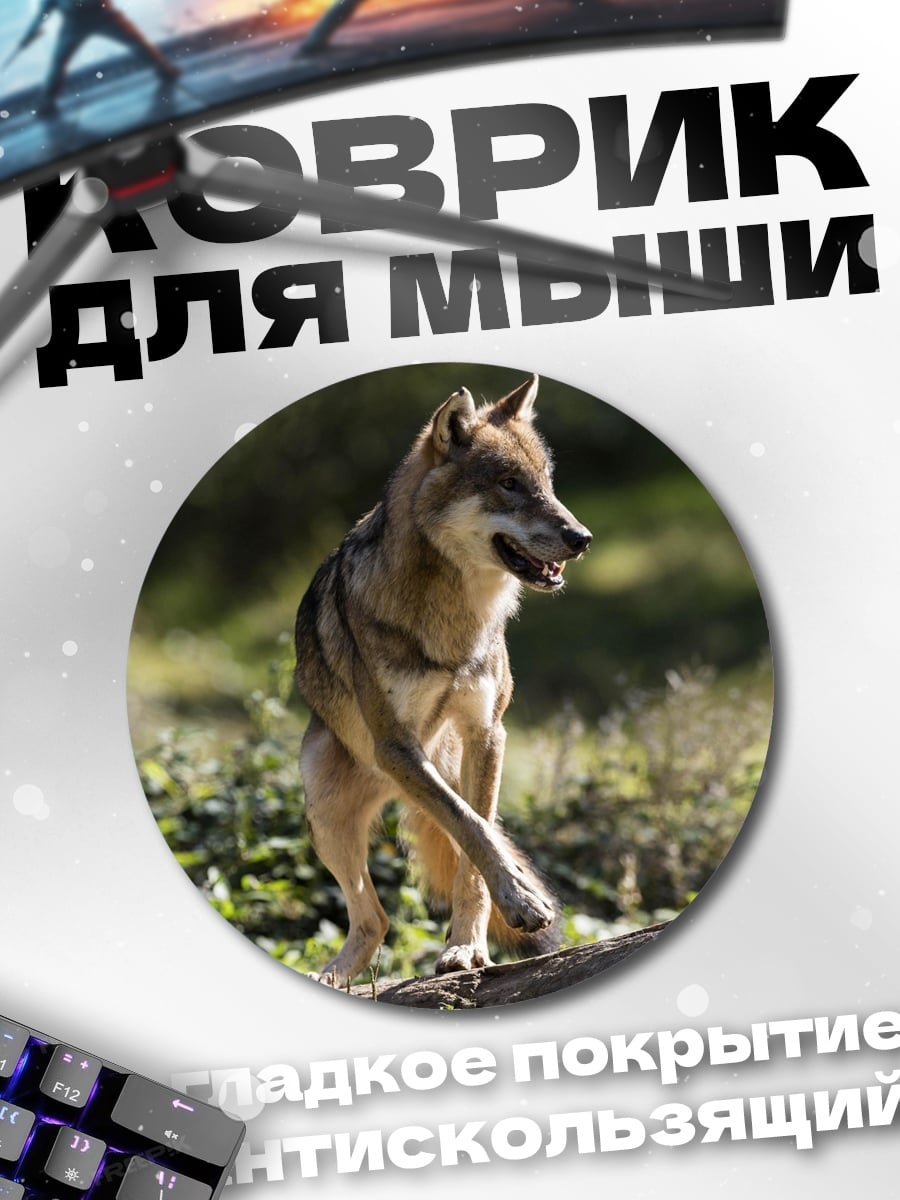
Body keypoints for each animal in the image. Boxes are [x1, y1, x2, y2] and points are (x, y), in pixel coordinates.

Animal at [293, 374, 592, 987]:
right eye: (509, 484)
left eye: (547, 485)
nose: (582, 537)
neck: (456, 622)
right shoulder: (396, 746)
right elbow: (471, 829)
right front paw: (519, 904)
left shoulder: (488, 733)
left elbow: (475, 844)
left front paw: (466, 949)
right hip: (327, 811)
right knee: (376, 919)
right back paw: (330, 979)